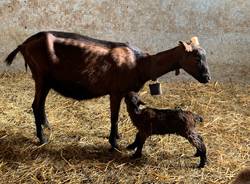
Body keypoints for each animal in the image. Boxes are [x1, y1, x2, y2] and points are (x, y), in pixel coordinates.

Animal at [4, 31, 210, 150]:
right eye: (195, 57)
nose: (207, 78)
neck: (141, 63)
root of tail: (24, 44)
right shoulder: (115, 91)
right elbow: (114, 116)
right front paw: (114, 143)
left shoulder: (127, 90)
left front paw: (118, 136)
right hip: (41, 76)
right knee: (35, 105)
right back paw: (42, 138)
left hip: (45, 81)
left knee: (40, 105)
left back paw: (47, 126)